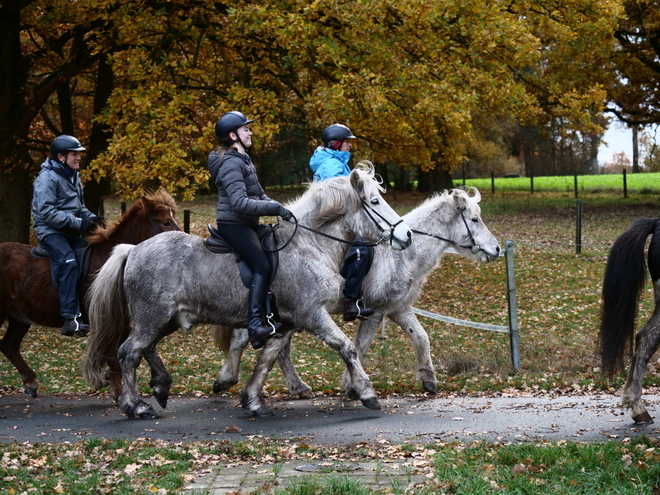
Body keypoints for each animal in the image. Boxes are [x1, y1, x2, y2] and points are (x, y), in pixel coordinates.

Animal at [0, 190, 180, 400]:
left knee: (9, 346)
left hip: (19, 317)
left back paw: (30, 381)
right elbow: (113, 356)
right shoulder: (112, 322)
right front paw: (118, 392)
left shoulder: (124, 323)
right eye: (165, 222)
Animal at [82, 166, 412, 418]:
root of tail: (133, 249)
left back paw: (161, 385)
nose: (406, 235)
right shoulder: (312, 314)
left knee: (145, 348)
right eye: (375, 201)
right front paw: (367, 393)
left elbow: (267, 360)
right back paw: (136, 406)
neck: (308, 244)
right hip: (152, 317)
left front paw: (252, 398)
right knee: (127, 353)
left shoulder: (286, 324)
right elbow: (347, 347)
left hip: (166, 320)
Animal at [213, 189, 500, 404]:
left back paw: (284, 385)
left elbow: (421, 337)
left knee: (269, 344)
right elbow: (361, 345)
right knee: (257, 341)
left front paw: (428, 379)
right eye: (474, 219)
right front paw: (353, 385)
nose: (496, 249)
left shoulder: (399, 308)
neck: (402, 255)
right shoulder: (376, 311)